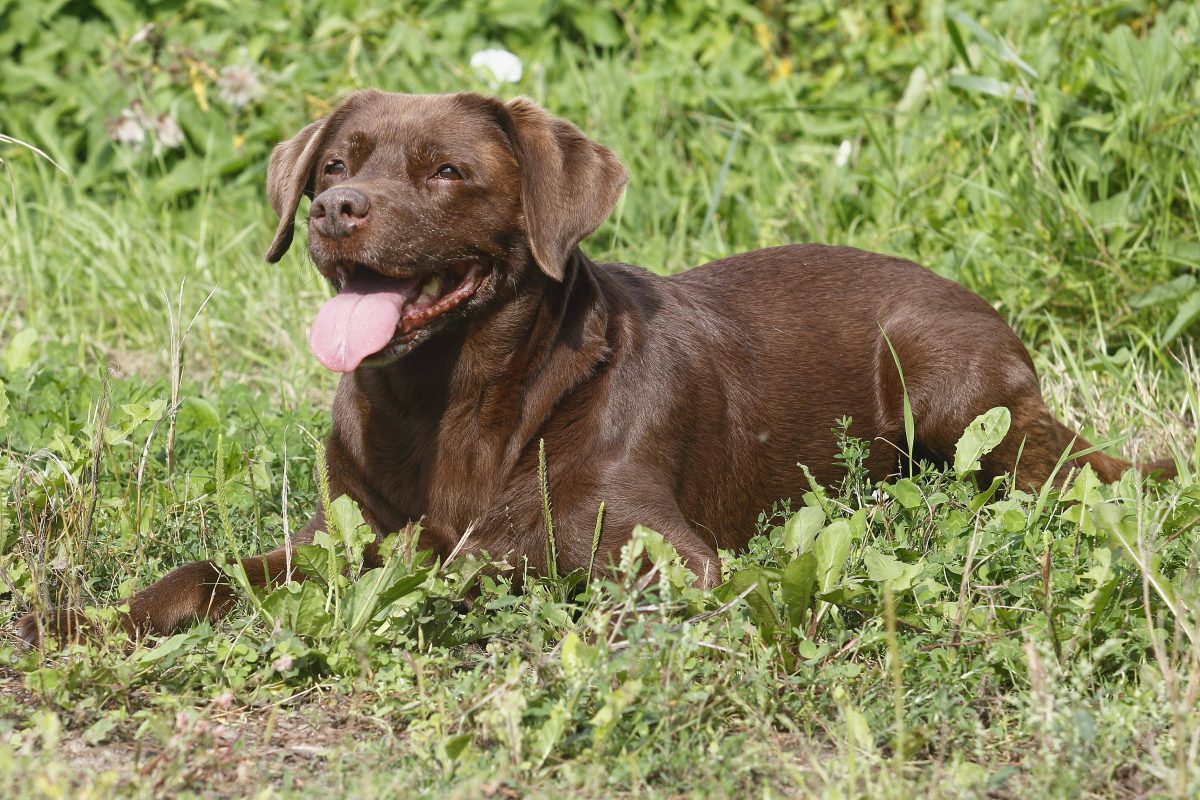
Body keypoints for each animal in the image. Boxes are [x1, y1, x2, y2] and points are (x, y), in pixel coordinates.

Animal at [16, 90, 1171, 647]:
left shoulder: (666, 555)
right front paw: (79, 622)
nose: (336, 210)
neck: (450, 400)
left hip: (966, 404)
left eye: (446, 171)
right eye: (335, 164)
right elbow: (206, 572)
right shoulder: (342, 529)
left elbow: (491, 561)